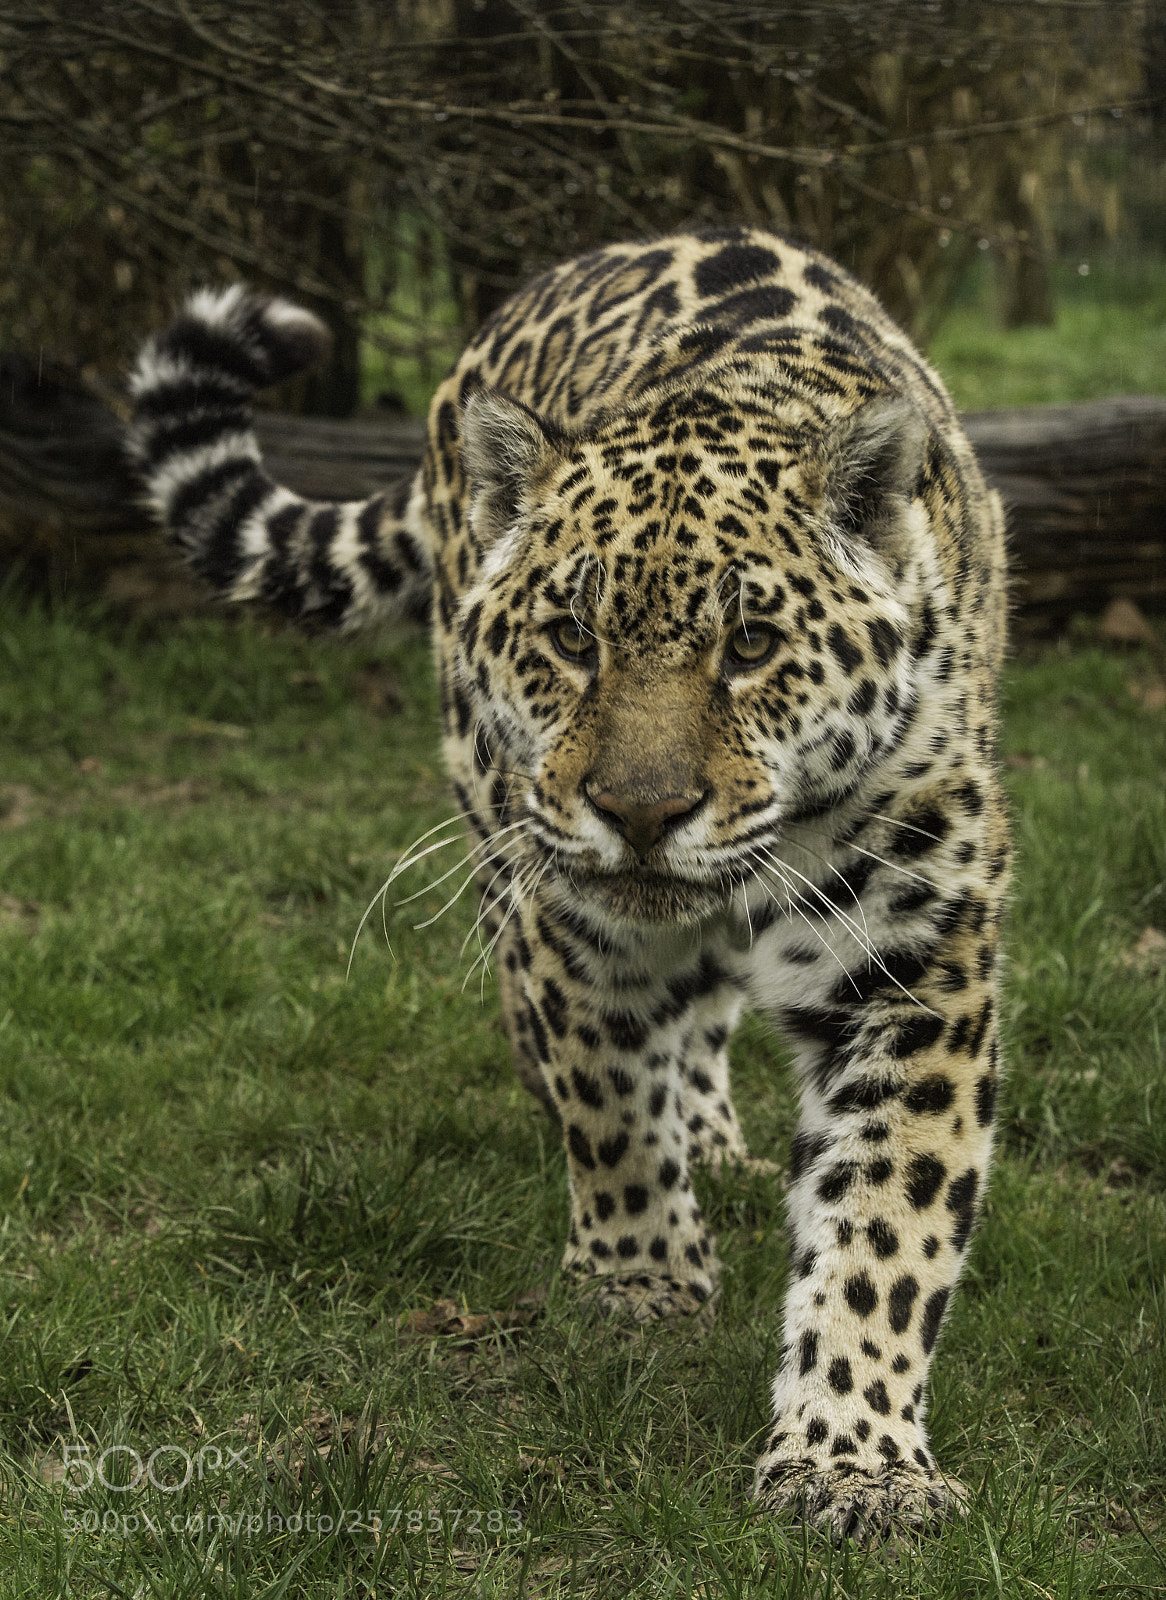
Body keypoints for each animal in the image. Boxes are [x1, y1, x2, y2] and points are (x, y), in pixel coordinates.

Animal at [128, 226, 1009, 1543]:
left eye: (750, 646)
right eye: (570, 637)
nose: (639, 813)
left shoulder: (917, 966)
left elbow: (885, 1225)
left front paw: (853, 1459)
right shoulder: (566, 917)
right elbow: (604, 1096)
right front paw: (641, 1282)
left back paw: (716, 1141)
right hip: (486, 808)